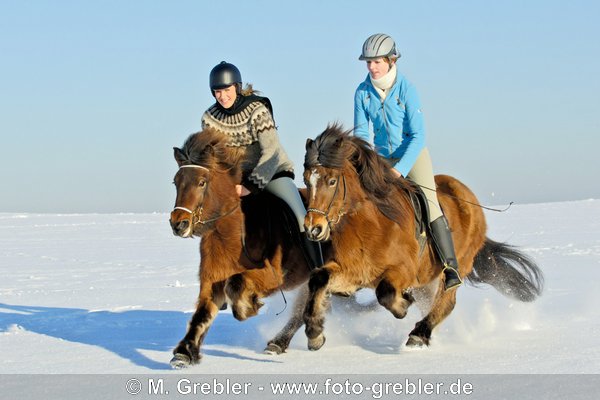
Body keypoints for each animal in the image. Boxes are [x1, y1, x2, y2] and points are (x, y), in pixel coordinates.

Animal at [169, 129, 316, 368]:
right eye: (176, 182)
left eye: (202, 182)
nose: (178, 224)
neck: (232, 232)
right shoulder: (211, 280)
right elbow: (201, 316)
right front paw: (183, 353)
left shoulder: (272, 276)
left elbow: (236, 283)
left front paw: (249, 307)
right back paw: (277, 344)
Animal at [302, 124, 540, 350]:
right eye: (306, 181)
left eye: (332, 181)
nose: (313, 229)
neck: (367, 224)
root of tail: (469, 197)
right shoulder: (353, 270)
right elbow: (318, 278)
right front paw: (314, 333)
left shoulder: (404, 270)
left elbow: (385, 292)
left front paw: (403, 303)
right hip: (427, 280)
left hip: (458, 265)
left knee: (447, 301)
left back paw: (419, 334)